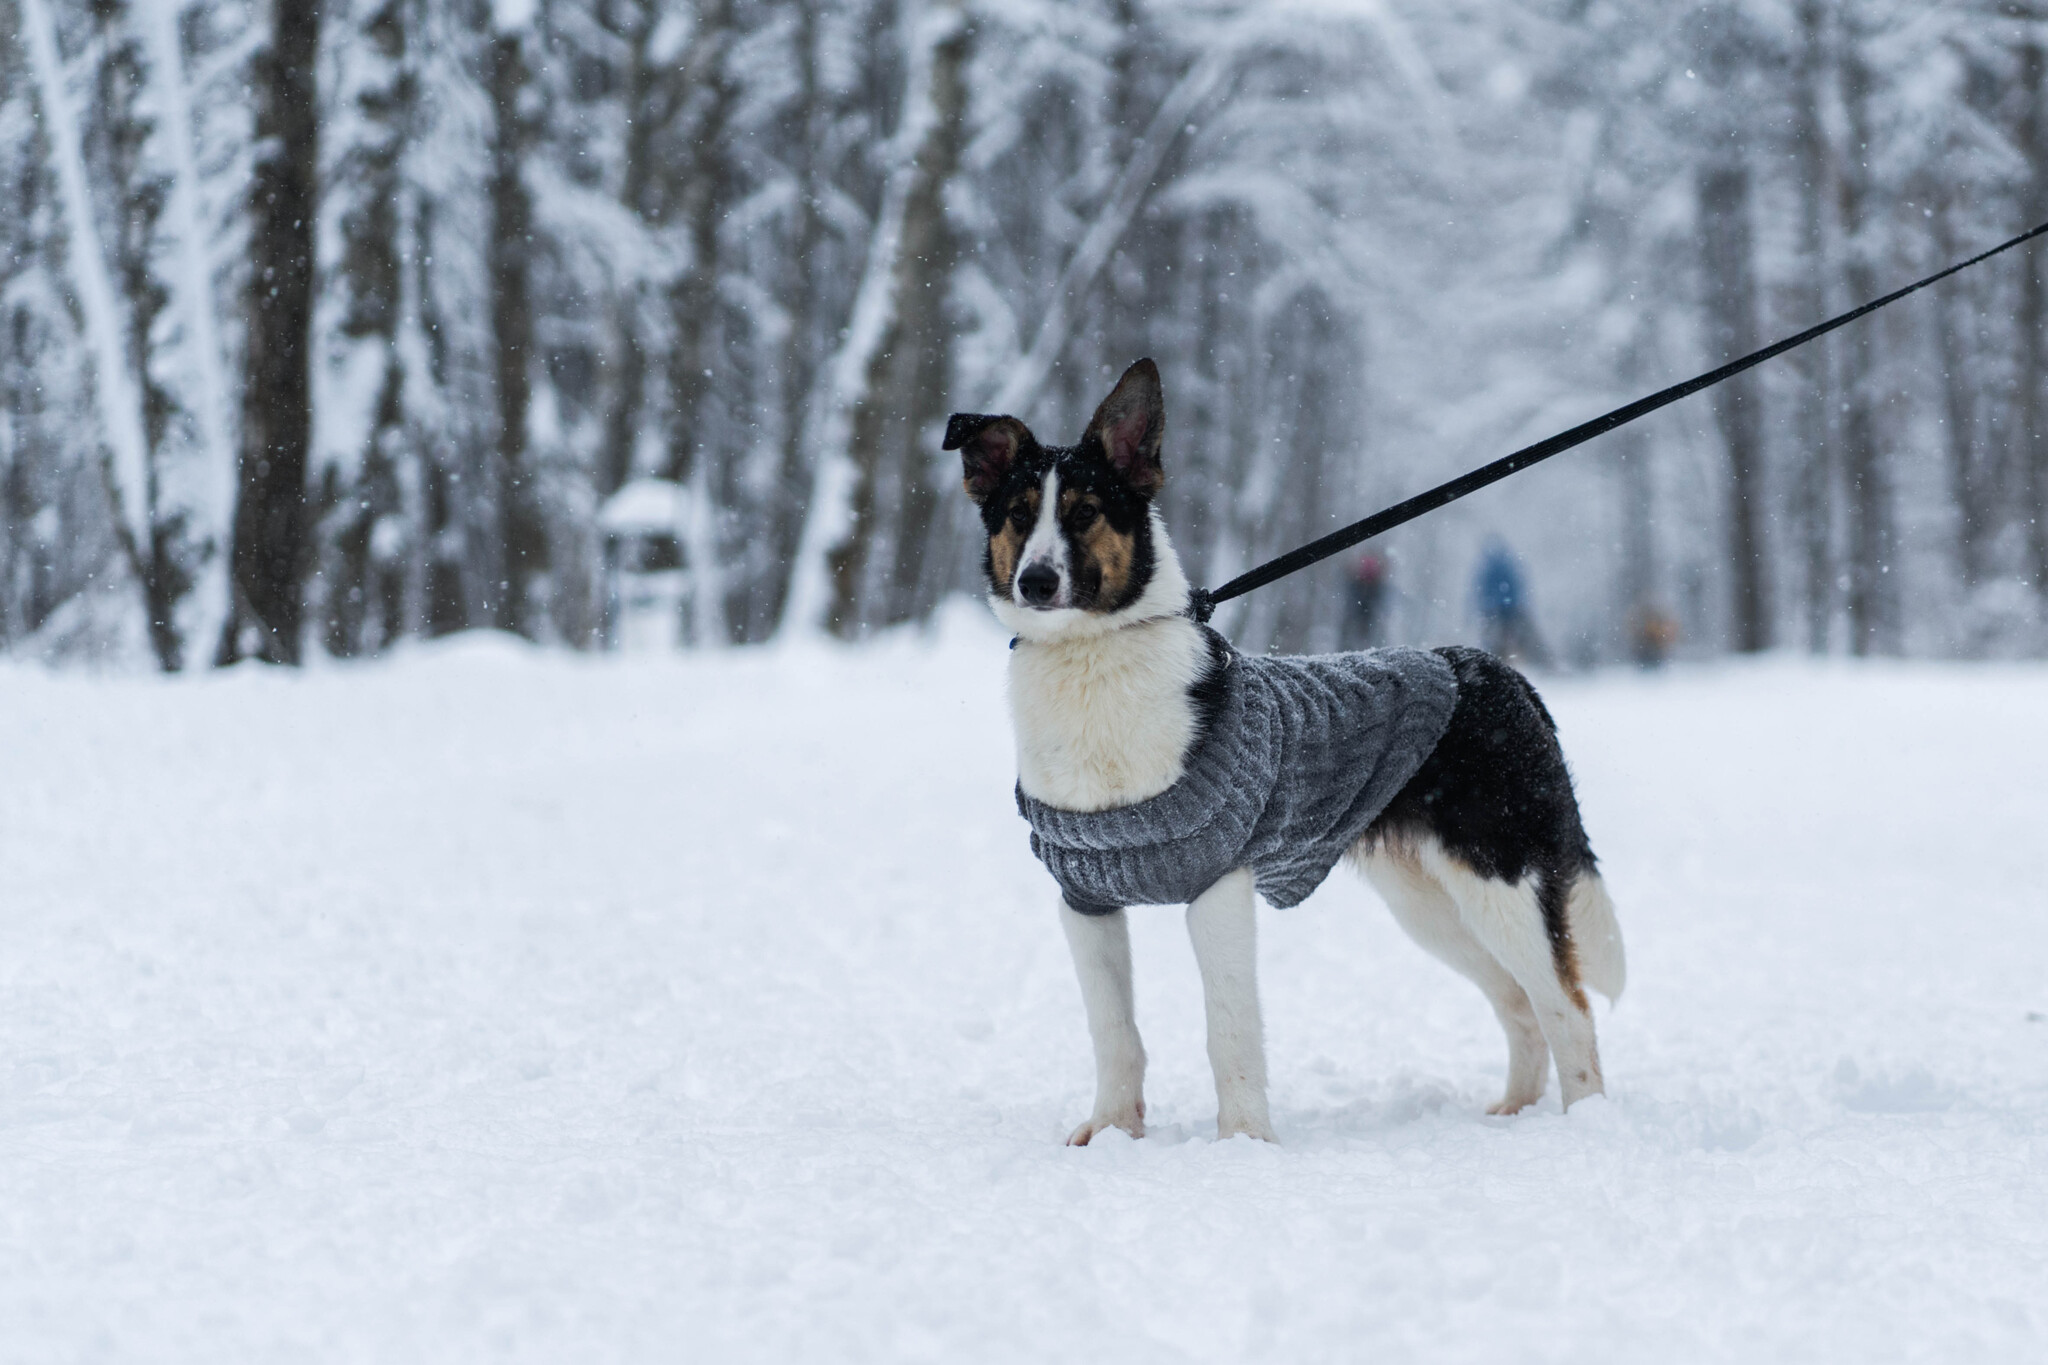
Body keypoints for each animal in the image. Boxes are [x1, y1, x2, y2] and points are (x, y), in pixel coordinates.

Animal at [946, 360, 1630, 1146]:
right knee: (1519, 1004)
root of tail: (1501, 672)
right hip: (1432, 904)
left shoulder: (1217, 888)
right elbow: (1115, 1031)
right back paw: (1514, 1111)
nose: (1036, 581)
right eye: (1017, 514)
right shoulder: (1085, 901)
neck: (1094, 659)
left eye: (1086, 511)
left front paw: (1243, 1143)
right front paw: (1114, 1132)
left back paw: (1587, 1125)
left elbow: (1229, 1030)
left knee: (1567, 1006)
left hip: (1502, 882)